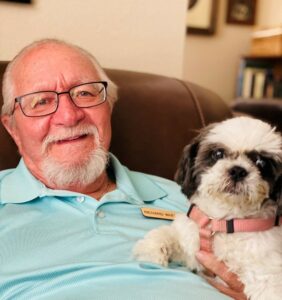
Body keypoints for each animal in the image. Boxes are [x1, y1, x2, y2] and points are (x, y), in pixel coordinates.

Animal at [134, 116, 282, 298]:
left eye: (261, 162)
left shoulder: (267, 273)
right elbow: (165, 234)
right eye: (218, 154)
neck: (224, 222)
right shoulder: (190, 242)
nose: (238, 170)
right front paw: (151, 252)